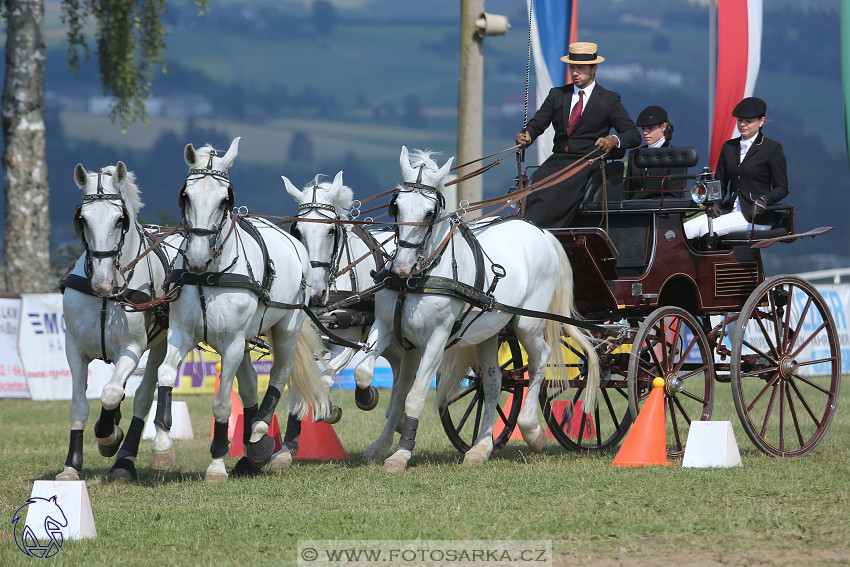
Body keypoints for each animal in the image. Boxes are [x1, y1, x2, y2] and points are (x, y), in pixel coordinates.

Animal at [57, 162, 179, 482]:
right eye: (82, 219)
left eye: (120, 220)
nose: (102, 283)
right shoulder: (73, 348)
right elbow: (79, 404)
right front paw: (71, 465)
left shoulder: (132, 348)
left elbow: (111, 394)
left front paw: (108, 437)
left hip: (162, 344)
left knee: (144, 396)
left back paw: (126, 460)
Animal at [154, 138, 332, 484]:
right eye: (185, 195)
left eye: (226, 199)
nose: (196, 258)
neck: (208, 275)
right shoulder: (181, 333)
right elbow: (165, 375)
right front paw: (162, 447)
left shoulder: (233, 343)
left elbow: (223, 403)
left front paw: (216, 464)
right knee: (250, 386)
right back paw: (254, 452)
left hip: (286, 327)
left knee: (280, 374)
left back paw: (260, 429)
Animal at [352, 146, 596, 470]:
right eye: (396, 207)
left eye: (430, 212)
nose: (402, 267)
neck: (419, 278)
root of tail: (540, 232)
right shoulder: (389, 328)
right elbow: (370, 376)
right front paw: (373, 423)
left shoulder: (437, 339)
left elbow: (413, 396)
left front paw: (402, 453)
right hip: (488, 333)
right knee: (493, 383)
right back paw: (481, 447)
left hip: (527, 324)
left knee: (540, 359)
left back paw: (532, 431)